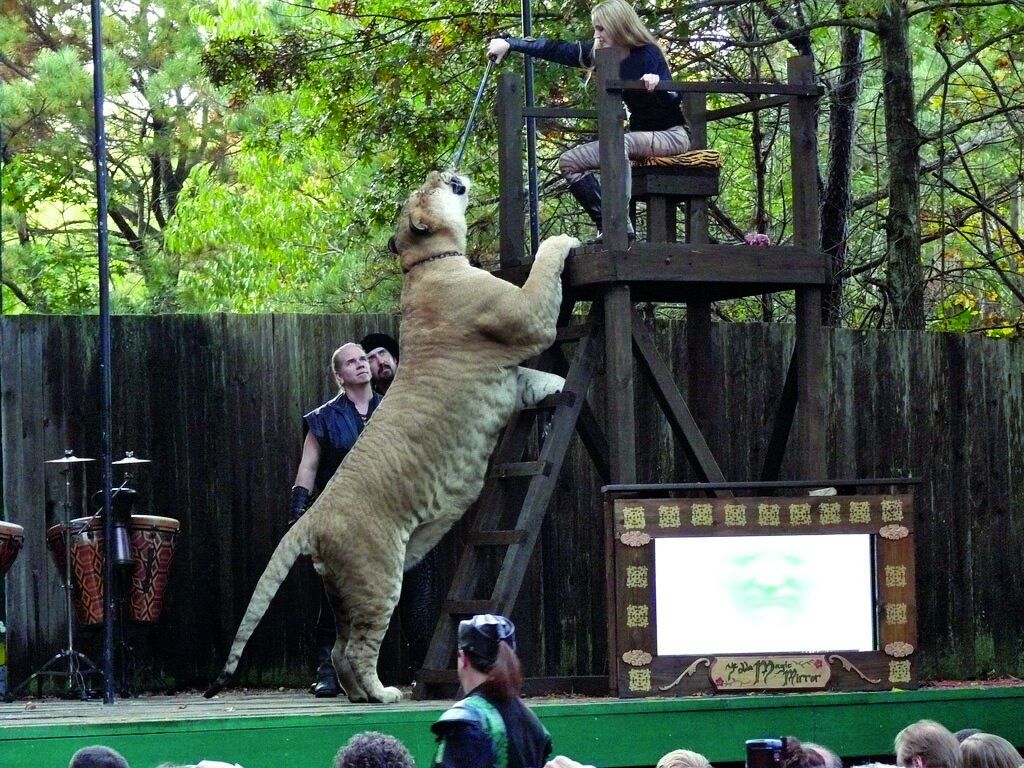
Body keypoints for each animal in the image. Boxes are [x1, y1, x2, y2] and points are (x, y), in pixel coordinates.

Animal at [207, 173, 577, 704]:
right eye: (430, 186)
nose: (443, 171)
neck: (424, 263)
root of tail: (310, 517)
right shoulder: (524, 317)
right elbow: (544, 273)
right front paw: (563, 240)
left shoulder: (508, 381)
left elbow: (541, 383)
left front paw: (567, 388)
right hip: (377, 576)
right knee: (358, 647)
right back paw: (382, 694)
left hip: (343, 587)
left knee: (340, 646)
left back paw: (360, 696)